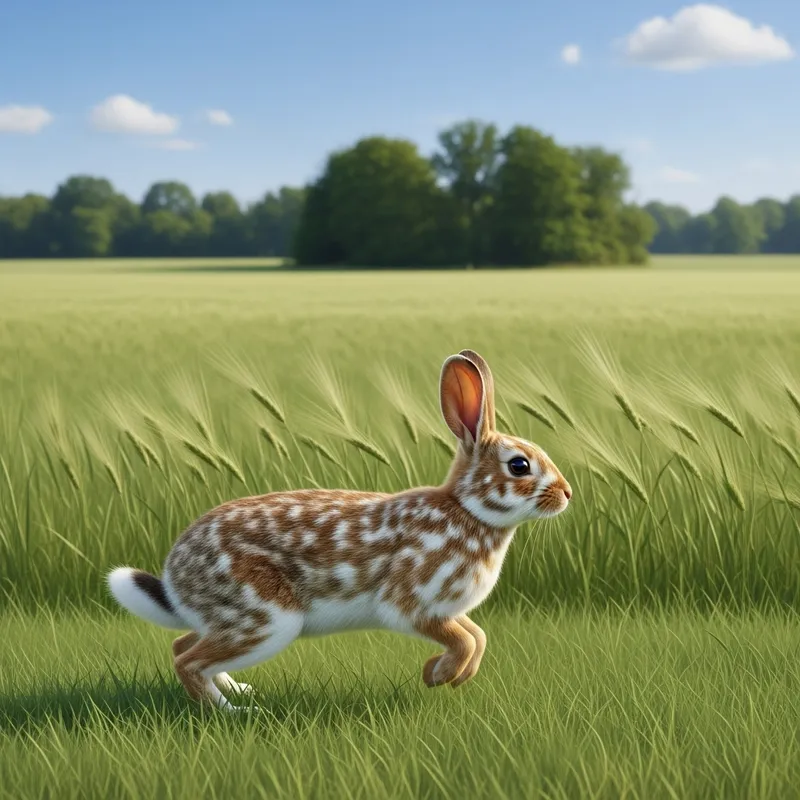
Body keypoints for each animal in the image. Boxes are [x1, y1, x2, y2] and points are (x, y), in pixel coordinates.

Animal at [107, 350, 573, 710]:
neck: (468, 511)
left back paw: (240, 690)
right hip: (265, 619)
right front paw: (439, 675)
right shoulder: (413, 603)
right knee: (187, 661)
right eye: (519, 465)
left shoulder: (448, 609)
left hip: (235, 621)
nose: (567, 493)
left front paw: (447, 675)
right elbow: (462, 639)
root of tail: (175, 575)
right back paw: (236, 711)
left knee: (184, 647)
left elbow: (477, 636)